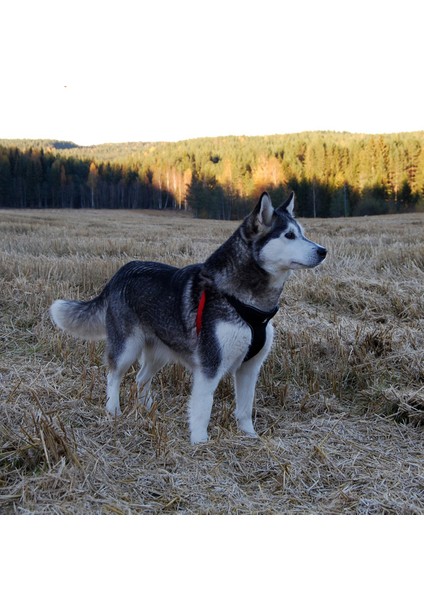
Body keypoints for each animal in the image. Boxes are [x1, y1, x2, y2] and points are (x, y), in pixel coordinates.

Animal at [50, 195, 328, 442]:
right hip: (127, 347)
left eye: (302, 233)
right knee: (113, 375)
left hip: (160, 351)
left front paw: (250, 436)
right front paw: (200, 442)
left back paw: (148, 409)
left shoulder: (250, 367)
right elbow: (203, 408)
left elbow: (245, 408)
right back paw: (114, 410)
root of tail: (121, 272)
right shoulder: (210, 365)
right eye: (289, 235)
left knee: (141, 378)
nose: (323, 251)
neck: (248, 304)